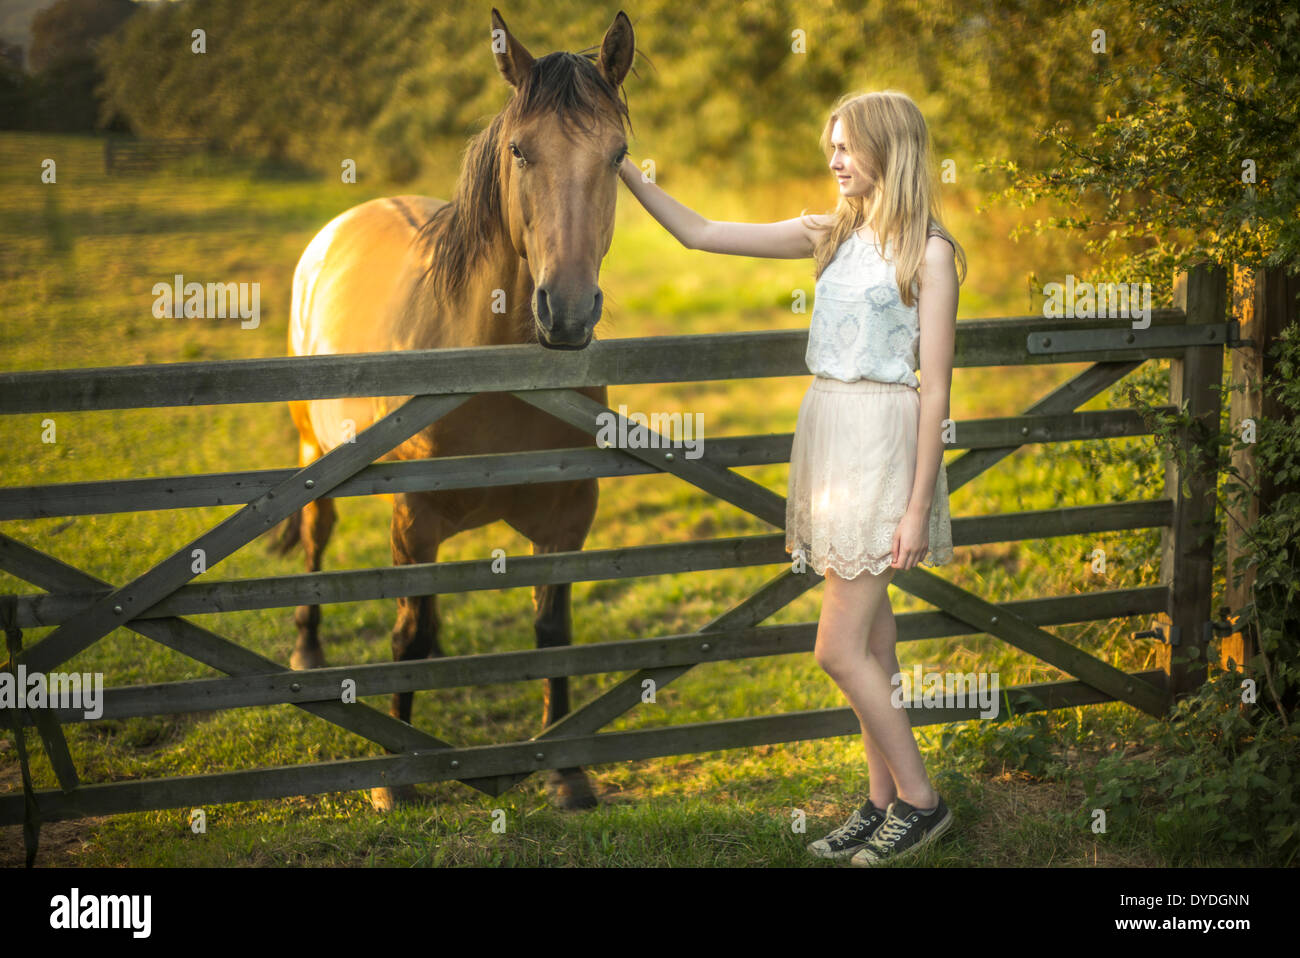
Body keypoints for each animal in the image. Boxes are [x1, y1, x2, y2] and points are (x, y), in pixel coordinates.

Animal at [276, 11, 637, 811]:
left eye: (619, 154)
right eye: (519, 150)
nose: (567, 312)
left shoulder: (568, 519)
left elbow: (552, 631)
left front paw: (566, 774)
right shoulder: (414, 518)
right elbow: (405, 639)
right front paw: (397, 784)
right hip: (317, 454)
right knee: (317, 533)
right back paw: (308, 648)